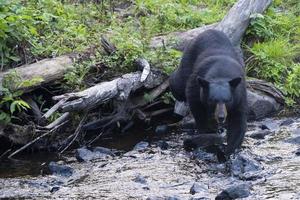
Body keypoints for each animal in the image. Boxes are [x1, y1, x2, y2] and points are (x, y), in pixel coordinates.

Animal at [170, 28, 247, 156]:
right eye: (213, 100)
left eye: (228, 100)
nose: (221, 117)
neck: (222, 72)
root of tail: (209, 30)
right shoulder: (197, 84)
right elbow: (196, 105)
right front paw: (206, 133)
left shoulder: (240, 95)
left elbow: (238, 121)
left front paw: (229, 151)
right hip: (188, 59)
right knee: (178, 84)